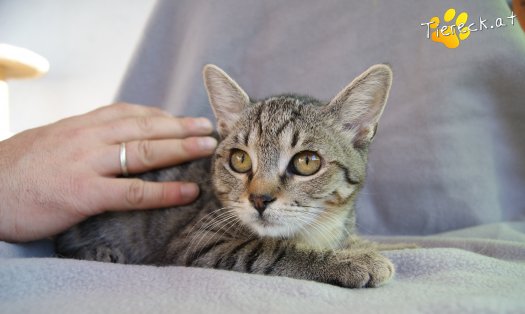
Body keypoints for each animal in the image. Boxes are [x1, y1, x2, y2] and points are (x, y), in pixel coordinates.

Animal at [56, 64, 392, 290]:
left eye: (307, 162)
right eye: (240, 160)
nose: (259, 199)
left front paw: (361, 246)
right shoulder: (197, 242)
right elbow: (268, 250)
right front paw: (349, 261)